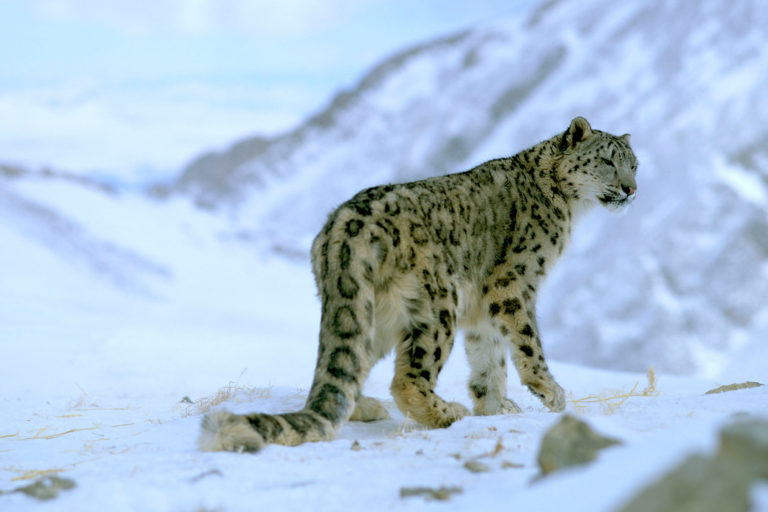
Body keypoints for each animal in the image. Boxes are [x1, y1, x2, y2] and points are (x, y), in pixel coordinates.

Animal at [196, 117, 636, 452]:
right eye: (607, 162)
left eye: (634, 165)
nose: (631, 189)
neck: (568, 208)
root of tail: (342, 228)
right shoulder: (513, 283)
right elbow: (526, 341)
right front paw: (551, 393)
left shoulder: (482, 306)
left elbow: (489, 354)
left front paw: (496, 404)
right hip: (437, 304)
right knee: (407, 378)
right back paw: (446, 412)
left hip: (371, 313)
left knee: (349, 365)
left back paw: (367, 407)